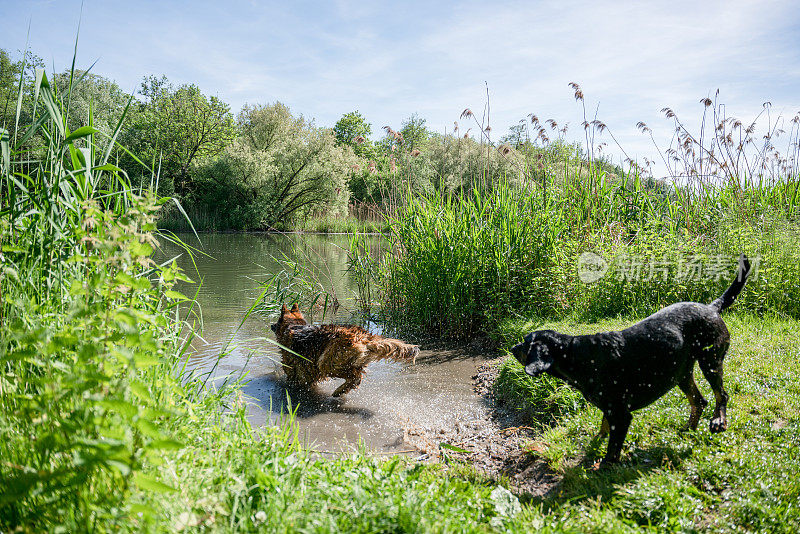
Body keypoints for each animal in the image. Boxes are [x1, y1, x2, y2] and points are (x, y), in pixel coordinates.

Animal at [270, 306, 418, 398]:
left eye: (277, 321)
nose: (271, 325)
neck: (294, 325)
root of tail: (363, 337)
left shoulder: (295, 368)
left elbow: (293, 376)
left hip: (327, 363)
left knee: (354, 377)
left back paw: (338, 391)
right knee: (357, 377)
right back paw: (341, 391)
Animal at [512, 255, 752, 464]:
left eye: (525, 343)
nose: (513, 348)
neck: (574, 354)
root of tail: (712, 307)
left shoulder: (620, 414)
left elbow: (613, 448)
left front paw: (604, 466)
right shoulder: (609, 411)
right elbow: (603, 429)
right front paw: (594, 445)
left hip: (710, 361)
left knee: (721, 395)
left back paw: (718, 420)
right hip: (681, 373)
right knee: (699, 401)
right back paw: (688, 430)